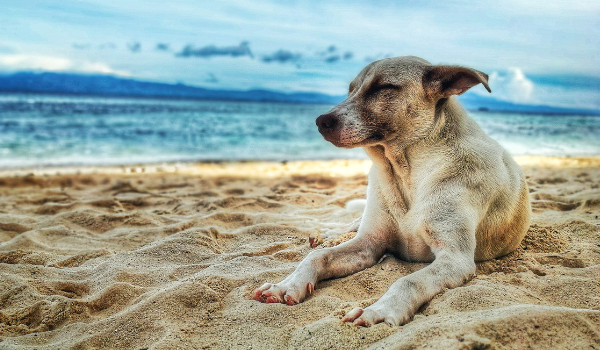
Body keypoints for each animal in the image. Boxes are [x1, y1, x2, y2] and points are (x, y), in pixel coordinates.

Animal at [253, 56, 528, 326]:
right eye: (351, 90)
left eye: (383, 87)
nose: (321, 121)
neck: (404, 173)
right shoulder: (368, 243)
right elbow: (318, 257)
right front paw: (287, 285)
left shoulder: (455, 259)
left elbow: (408, 281)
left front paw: (379, 311)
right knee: (349, 226)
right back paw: (328, 233)